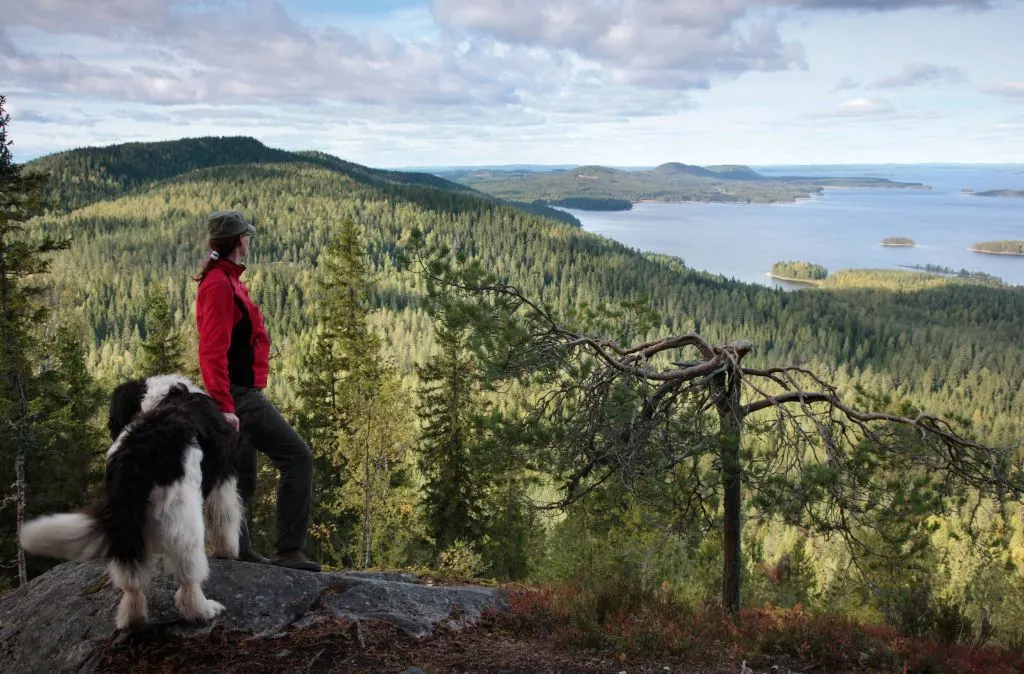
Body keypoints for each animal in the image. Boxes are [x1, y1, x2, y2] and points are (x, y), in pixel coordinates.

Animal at [19, 374, 245, 626]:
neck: (163, 396)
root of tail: (138, 450)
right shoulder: (223, 481)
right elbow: (225, 518)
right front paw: (227, 551)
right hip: (182, 518)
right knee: (188, 574)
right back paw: (201, 610)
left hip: (127, 520)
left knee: (132, 579)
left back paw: (132, 617)